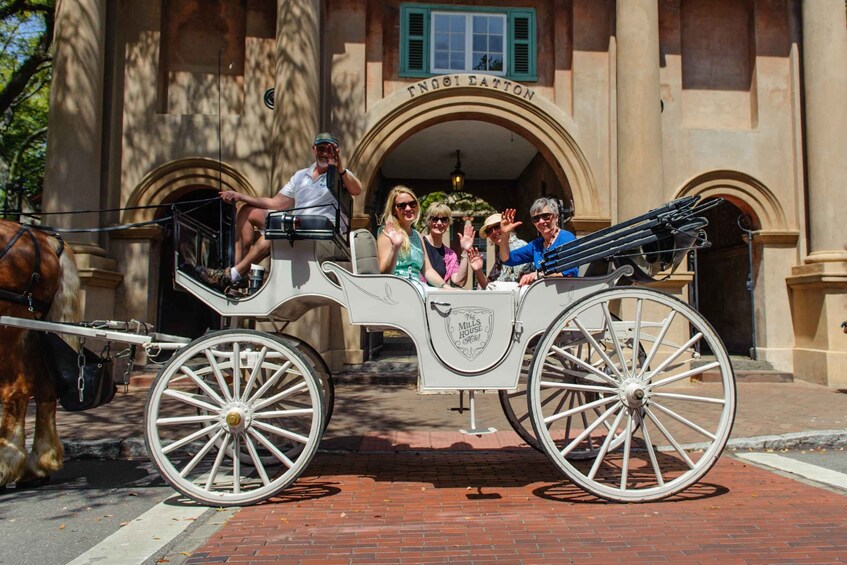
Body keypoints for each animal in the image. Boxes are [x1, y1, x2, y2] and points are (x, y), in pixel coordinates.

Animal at [0, 218, 80, 486]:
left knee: (16, 388)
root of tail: (43, 238)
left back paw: (6, 463)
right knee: (44, 387)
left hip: (9, 324)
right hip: (35, 329)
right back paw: (40, 464)